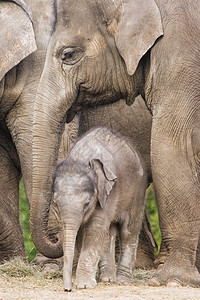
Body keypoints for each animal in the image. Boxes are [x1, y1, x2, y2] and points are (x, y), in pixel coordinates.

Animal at [53, 126, 147, 290]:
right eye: (55, 203)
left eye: (87, 203)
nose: (67, 289)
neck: (81, 158)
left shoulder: (108, 192)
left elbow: (95, 228)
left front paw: (83, 285)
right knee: (108, 233)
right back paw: (107, 279)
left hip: (137, 191)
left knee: (128, 231)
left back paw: (122, 281)